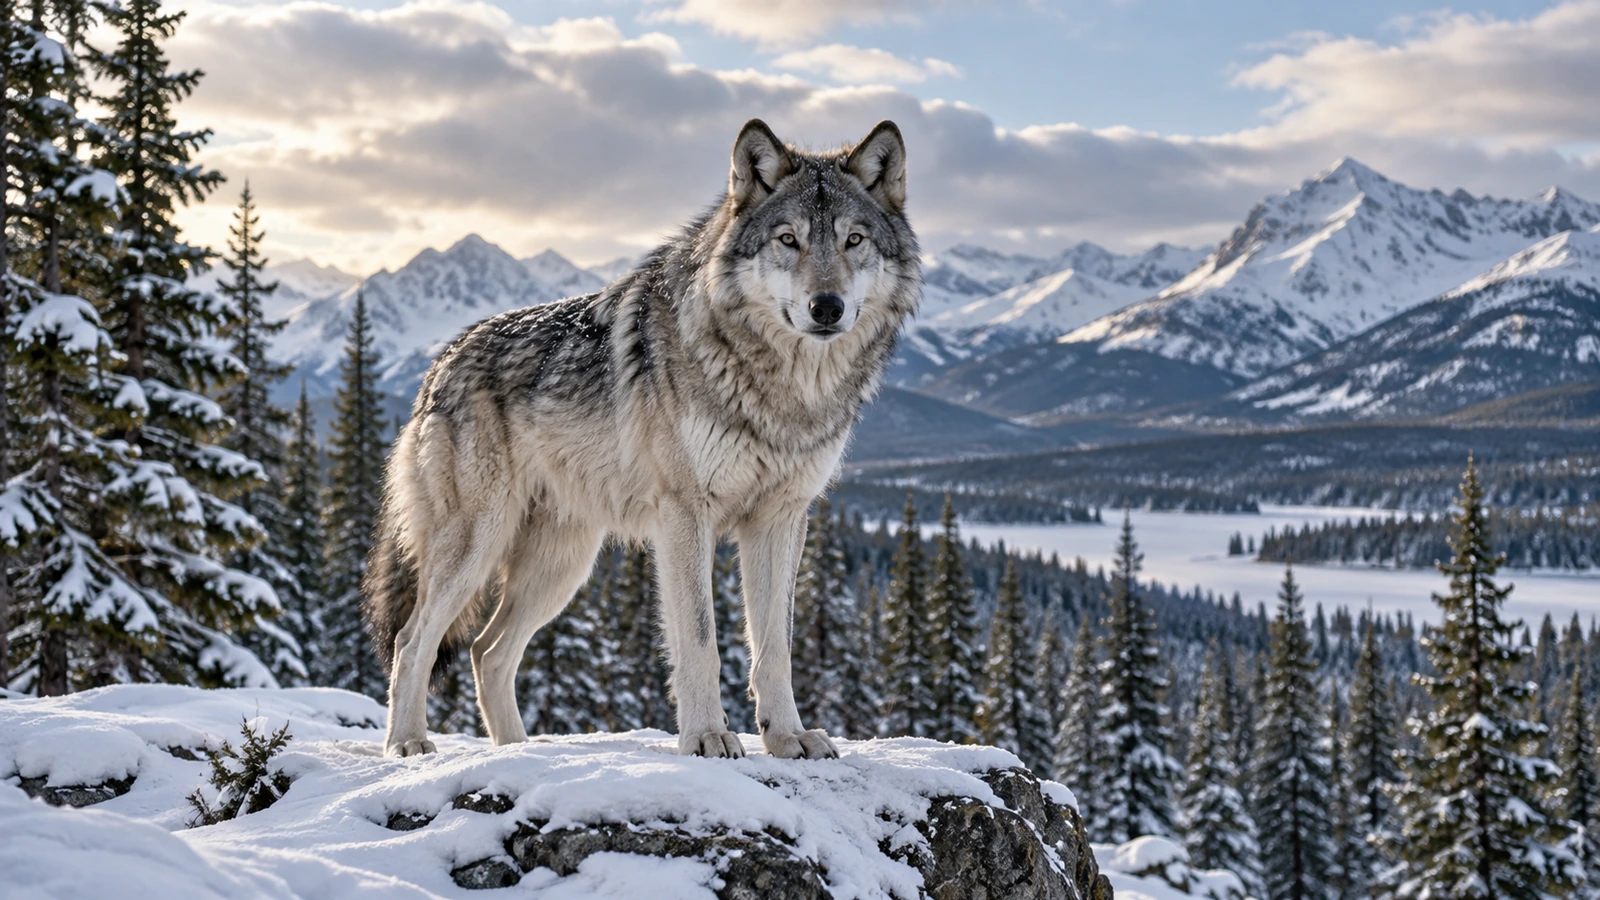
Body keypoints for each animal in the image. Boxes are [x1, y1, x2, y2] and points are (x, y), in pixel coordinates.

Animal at [365, 119, 920, 759]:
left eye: (854, 240)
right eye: (789, 239)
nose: (826, 307)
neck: (779, 387)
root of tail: (441, 362)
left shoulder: (781, 519)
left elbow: (774, 649)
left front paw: (787, 737)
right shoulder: (685, 514)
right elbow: (700, 641)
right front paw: (706, 735)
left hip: (561, 566)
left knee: (488, 651)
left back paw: (519, 750)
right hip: (479, 544)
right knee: (414, 640)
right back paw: (408, 744)